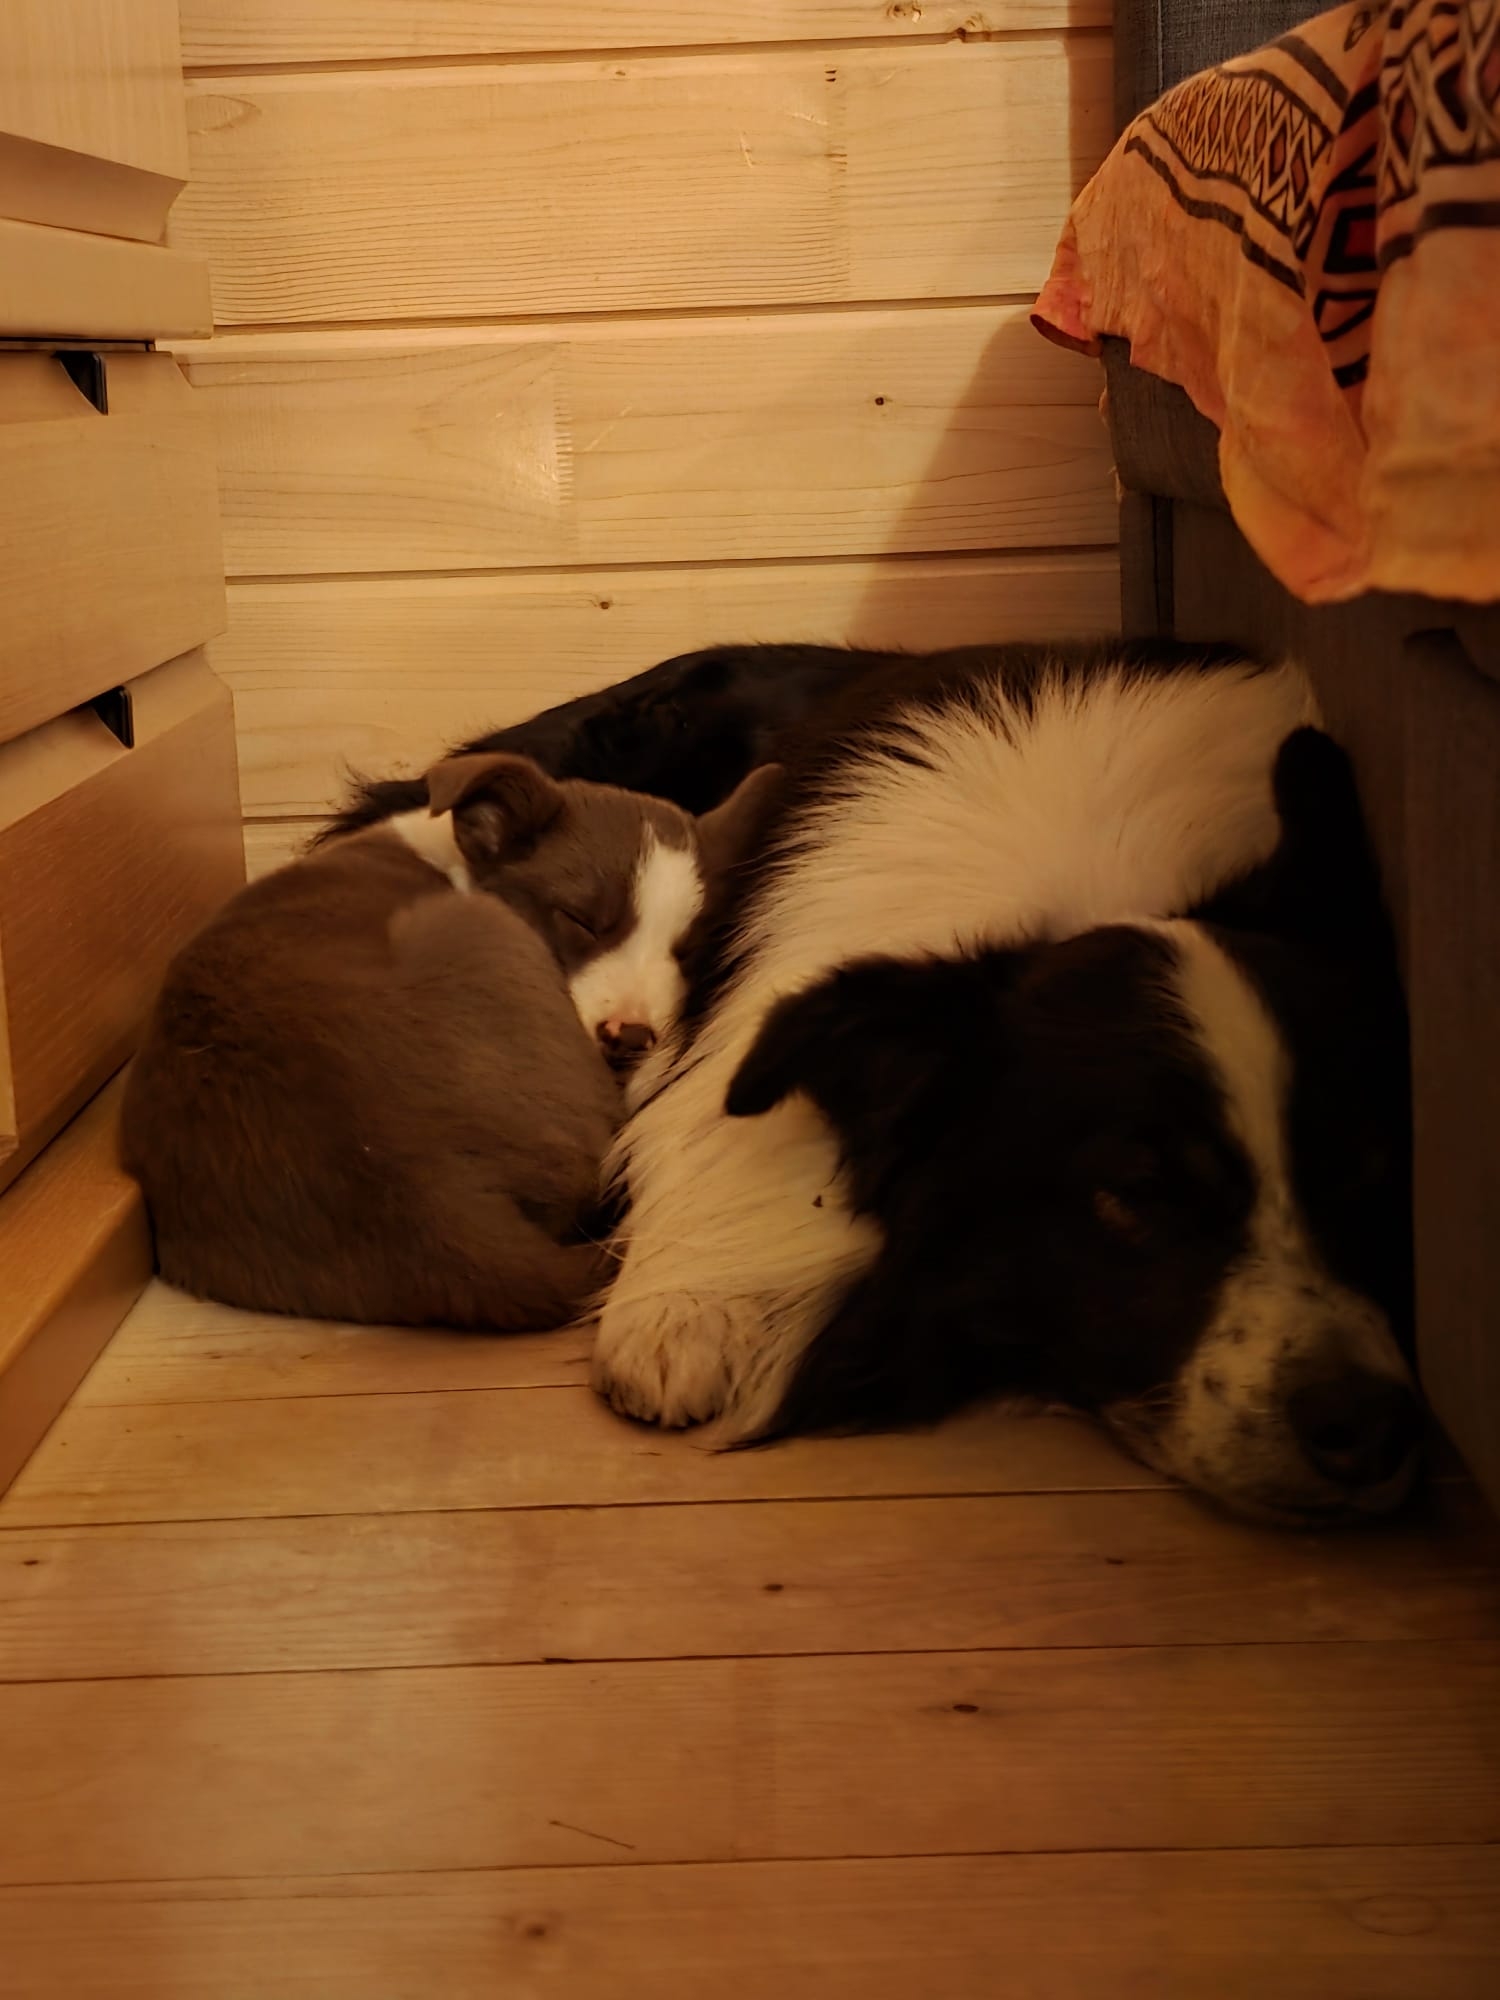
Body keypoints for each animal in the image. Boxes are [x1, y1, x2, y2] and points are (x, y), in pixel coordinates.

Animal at [123, 751, 775, 1329]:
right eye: (581, 920)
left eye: (689, 952)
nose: (631, 1038)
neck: (459, 855)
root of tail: (427, 1199)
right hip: (484, 928)